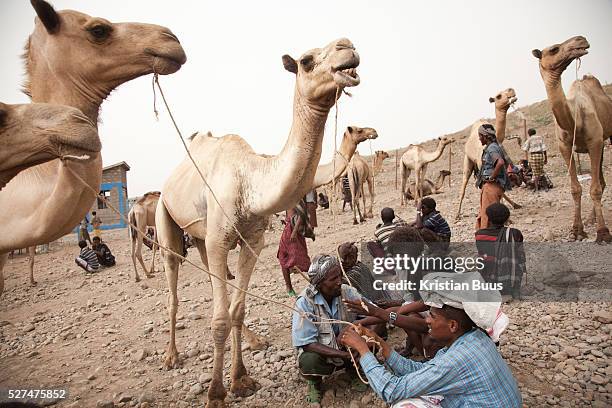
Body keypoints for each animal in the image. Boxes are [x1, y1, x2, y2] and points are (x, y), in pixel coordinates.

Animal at [155, 37, 360, 404]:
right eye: (306, 61)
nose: (347, 46)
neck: (248, 180)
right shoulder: (221, 239)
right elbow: (220, 320)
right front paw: (216, 393)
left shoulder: (252, 240)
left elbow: (236, 310)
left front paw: (240, 380)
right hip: (165, 216)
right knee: (173, 287)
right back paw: (171, 356)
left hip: (204, 238)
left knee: (211, 276)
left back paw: (252, 340)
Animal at [454, 88, 520, 222]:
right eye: (498, 96)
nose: (511, 90)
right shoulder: (483, 166)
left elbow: (501, 186)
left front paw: (512, 208)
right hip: (468, 160)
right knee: (463, 185)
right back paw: (457, 214)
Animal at [532, 35, 612, 242]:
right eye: (554, 49)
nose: (581, 39)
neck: (573, 119)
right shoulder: (565, 147)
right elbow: (576, 189)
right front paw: (577, 230)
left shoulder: (595, 141)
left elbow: (594, 189)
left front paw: (603, 232)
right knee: (600, 180)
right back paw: (592, 218)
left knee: (599, 182)